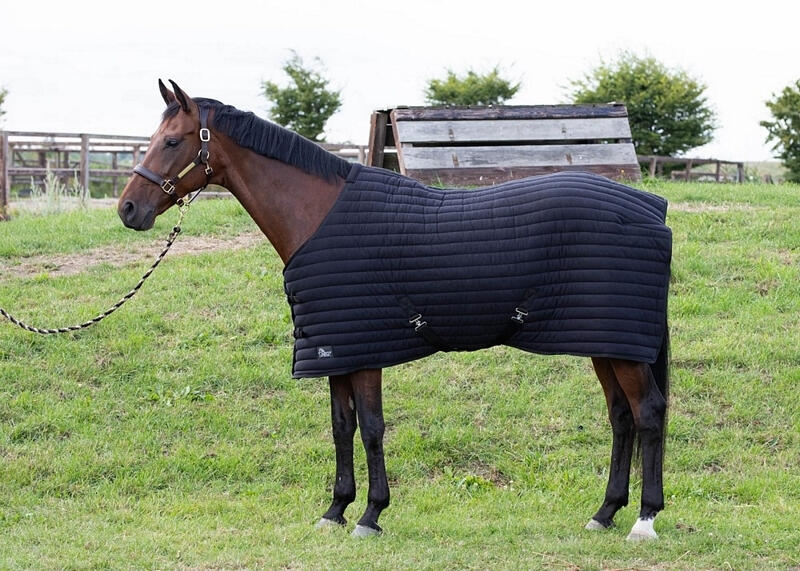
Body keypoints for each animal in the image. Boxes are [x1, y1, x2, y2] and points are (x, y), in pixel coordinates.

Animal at [118, 80, 671, 541]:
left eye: (173, 142)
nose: (128, 209)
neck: (318, 215)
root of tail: (655, 211)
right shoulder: (335, 348)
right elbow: (342, 427)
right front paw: (335, 510)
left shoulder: (365, 351)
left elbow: (371, 428)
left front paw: (370, 515)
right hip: (604, 341)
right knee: (621, 417)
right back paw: (605, 512)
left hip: (620, 346)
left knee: (647, 412)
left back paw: (644, 520)